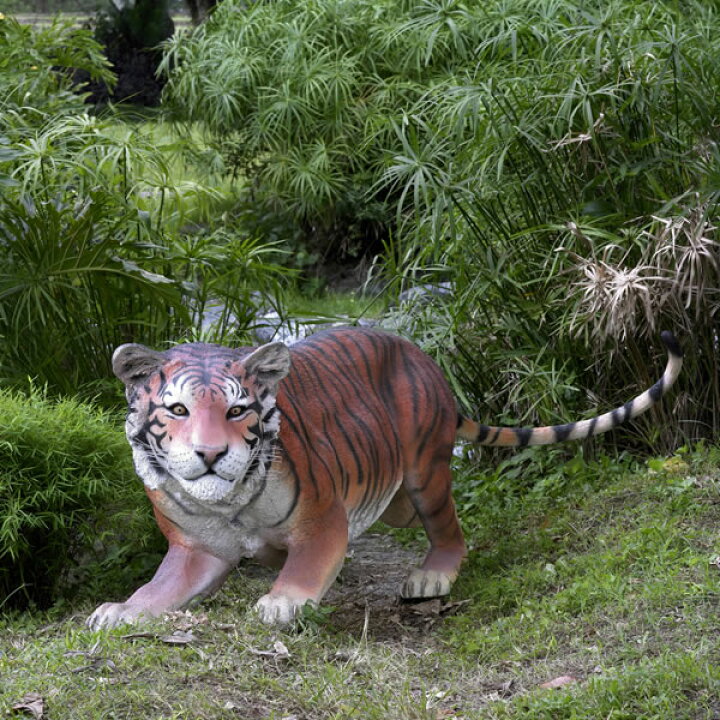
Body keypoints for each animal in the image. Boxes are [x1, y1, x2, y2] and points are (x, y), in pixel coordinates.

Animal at [87, 326, 682, 629]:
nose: (210, 454)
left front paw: (282, 602)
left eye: (236, 412)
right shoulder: (196, 549)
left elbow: (305, 566)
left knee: (450, 531)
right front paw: (122, 610)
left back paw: (432, 577)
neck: (226, 503)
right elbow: (160, 587)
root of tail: (428, 363)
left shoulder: (322, 519)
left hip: (424, 474)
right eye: (178, 410)